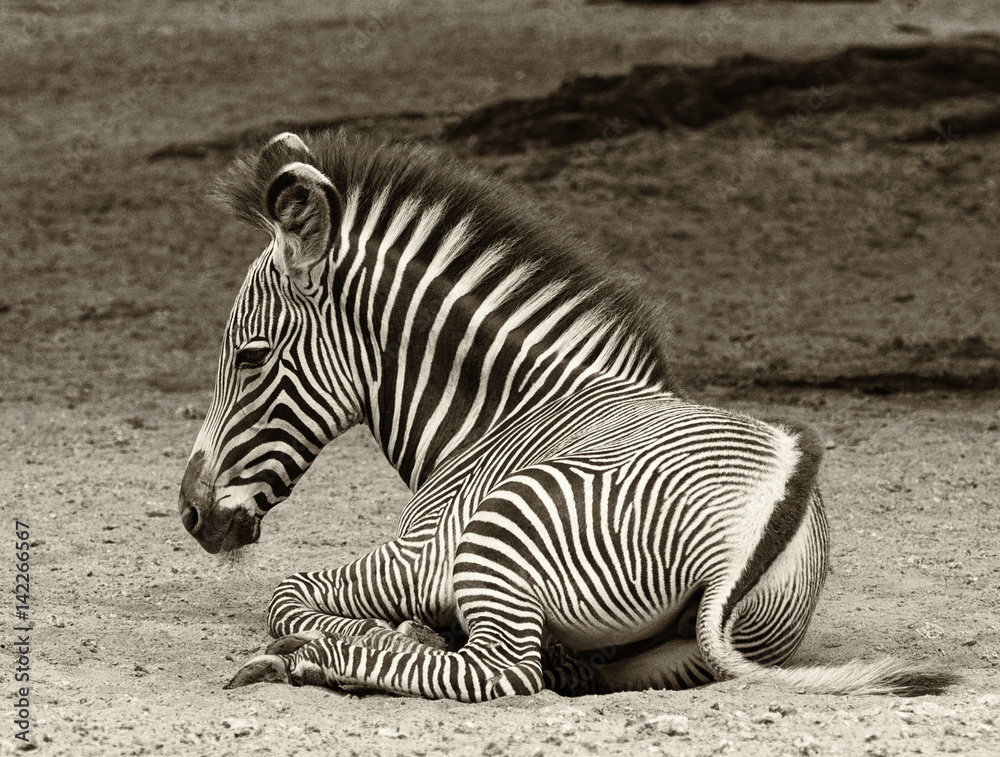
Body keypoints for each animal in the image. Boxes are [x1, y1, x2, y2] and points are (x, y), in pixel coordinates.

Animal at [178, 130, 954, 702]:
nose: (189, 513)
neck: (498, 414)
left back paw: (308, 658)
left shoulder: (419, 552)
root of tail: (767, 509)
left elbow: (287, 593)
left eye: (250, 356)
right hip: (682, 656)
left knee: (500, 669)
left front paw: (361, 634)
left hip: (497, 532)